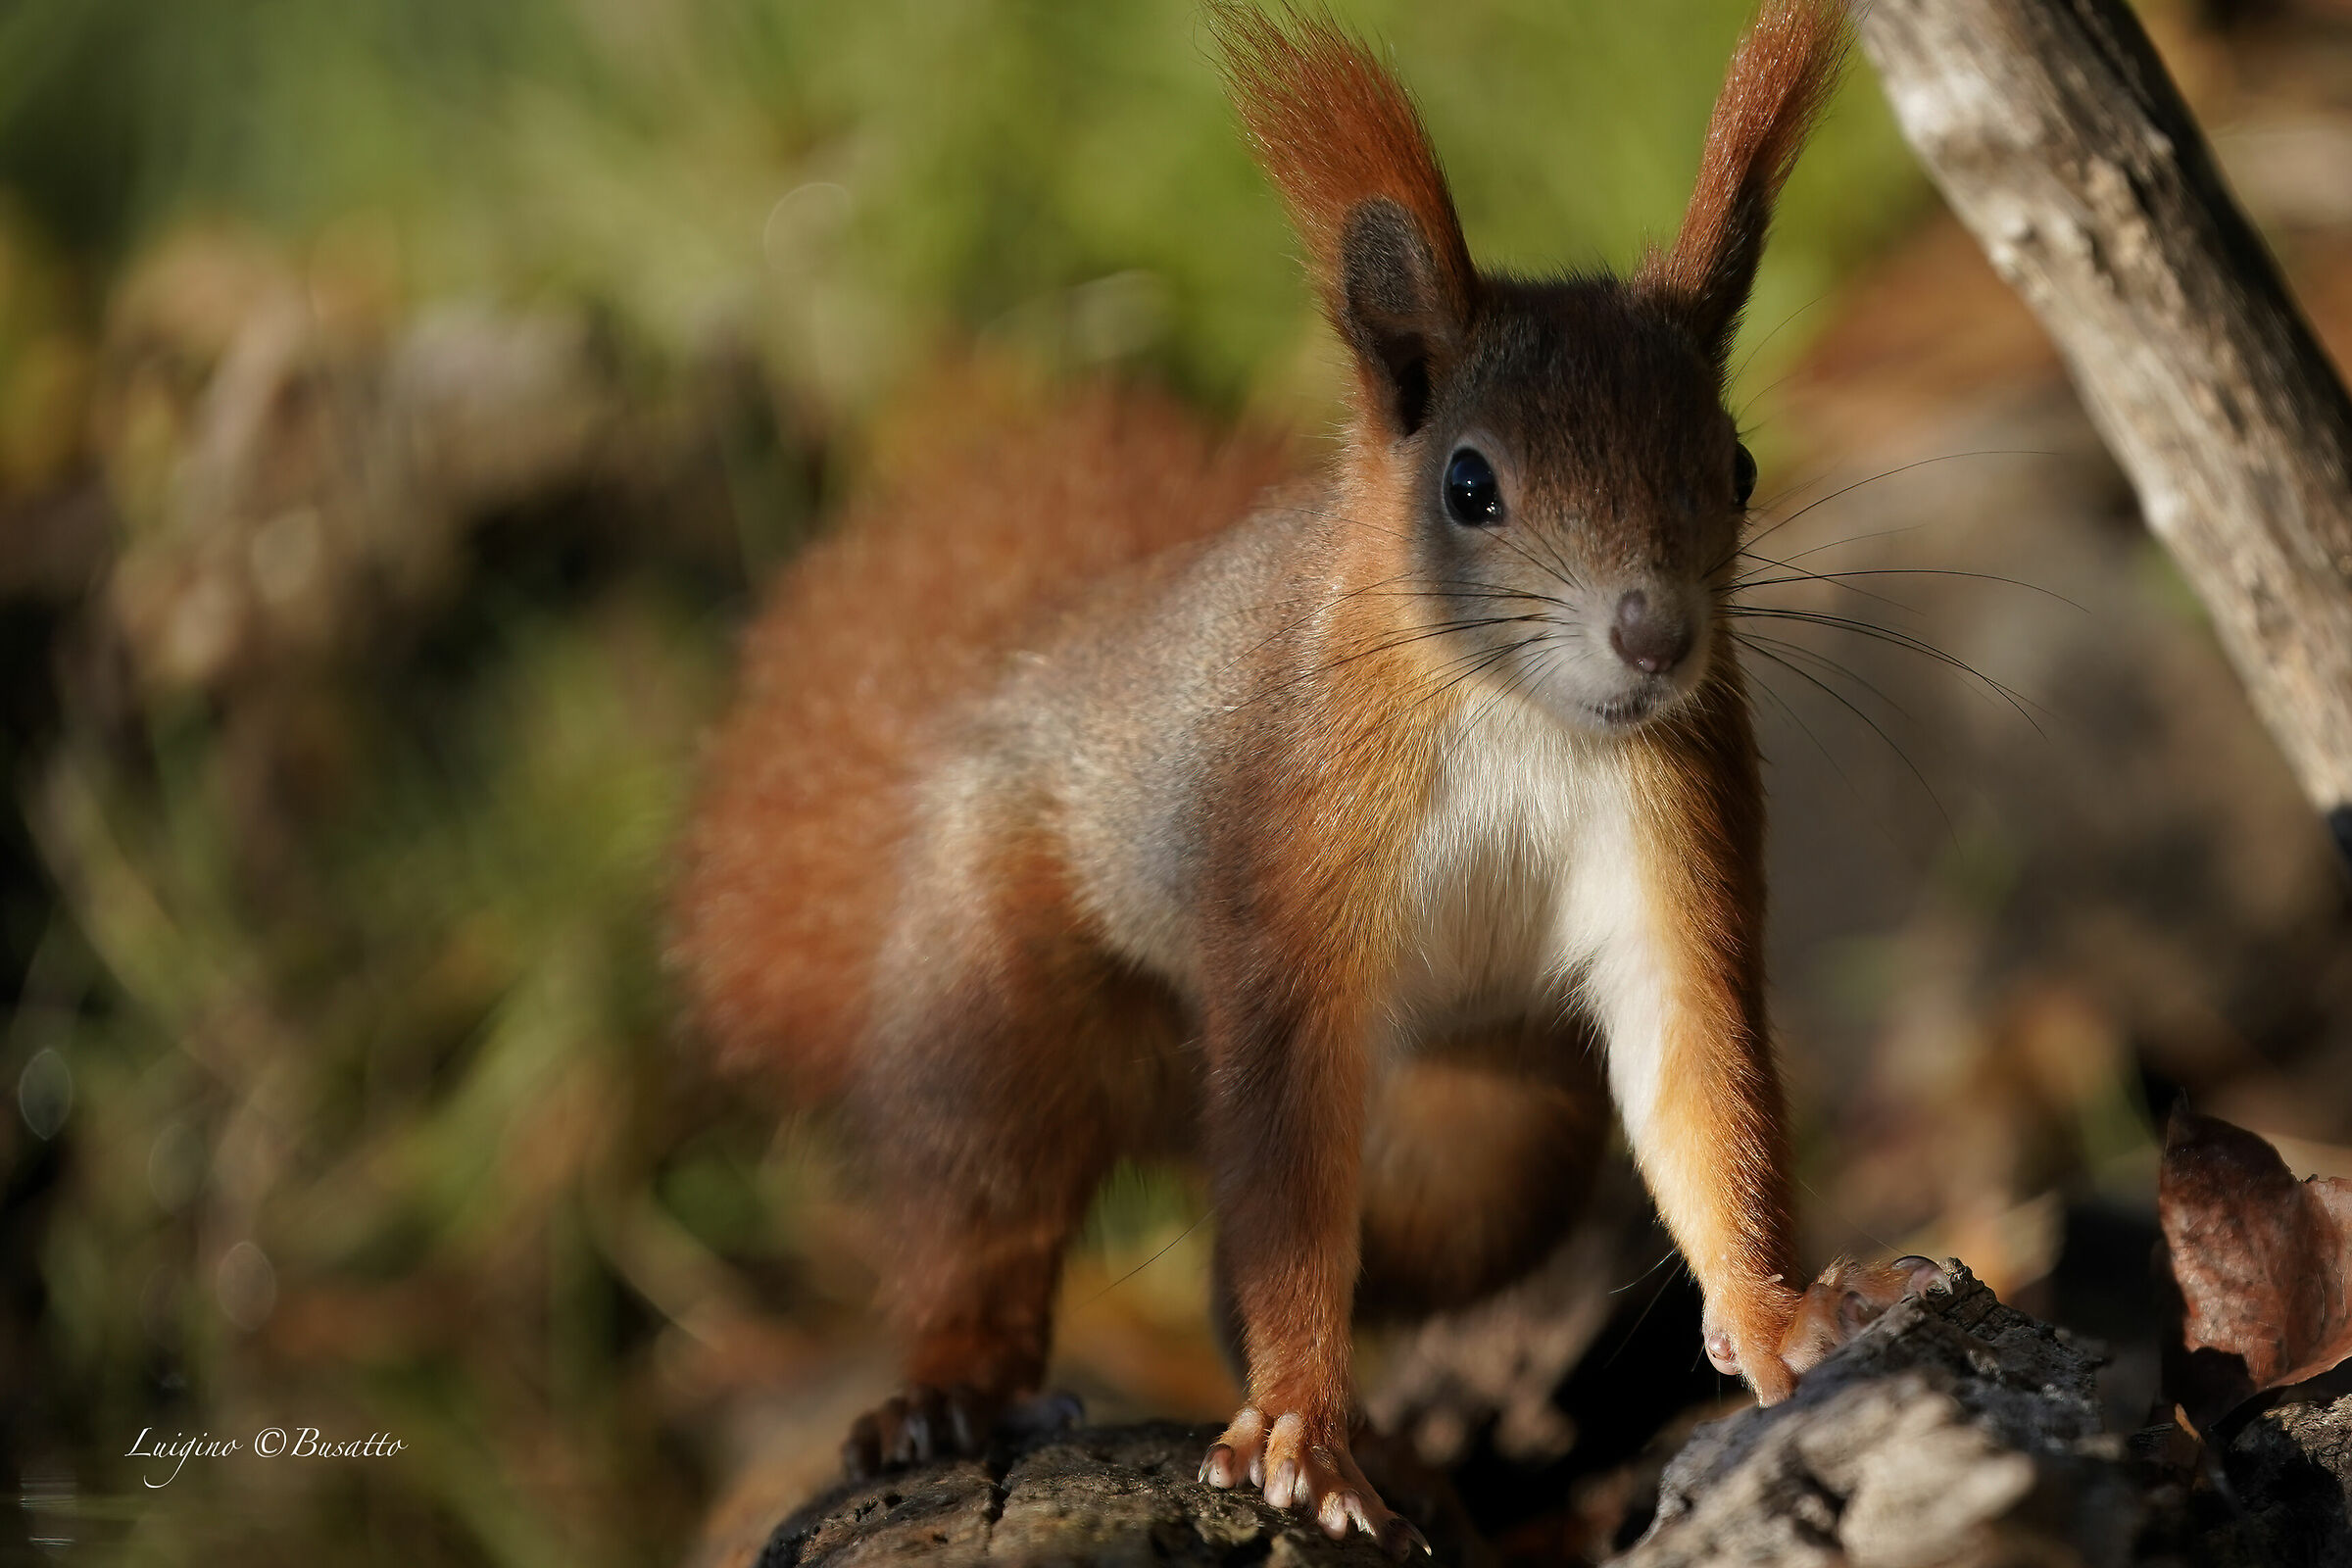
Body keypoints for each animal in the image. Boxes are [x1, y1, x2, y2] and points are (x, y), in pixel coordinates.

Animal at [673, 0, 1949, 1549]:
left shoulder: (1678, 825)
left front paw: (1779, 1318)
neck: (1514, 712)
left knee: (1272, 1255)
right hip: (995, 988)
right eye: (1468, 486)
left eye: (1741, 464)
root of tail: (1020, 673)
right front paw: (1299, 1432)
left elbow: (1701, 1083)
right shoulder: (1289, 869)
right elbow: (1288, 1173)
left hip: (1487, 1136)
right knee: (996, 1199)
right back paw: (958, 1390)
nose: (1654, 635)